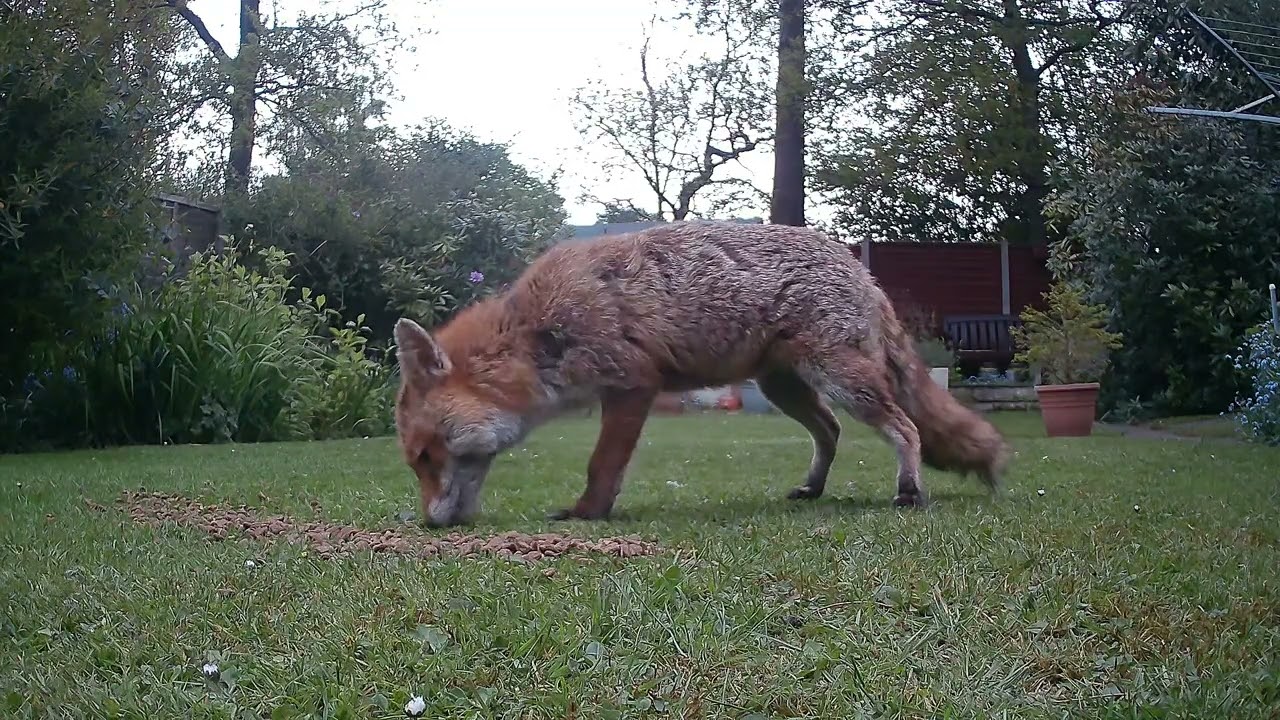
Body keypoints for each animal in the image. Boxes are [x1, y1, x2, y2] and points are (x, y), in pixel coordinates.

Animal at [393, 221, 1011, 527]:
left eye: (424, 457)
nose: (428, 523)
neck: (536, 333)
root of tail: (861, 269)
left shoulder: (632, 385)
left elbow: (602, 465)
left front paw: (588, 514)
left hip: (839, 379)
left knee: (904, 427)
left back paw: (909, 490)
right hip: (783, 387)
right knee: (831, 432)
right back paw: (813, 488)